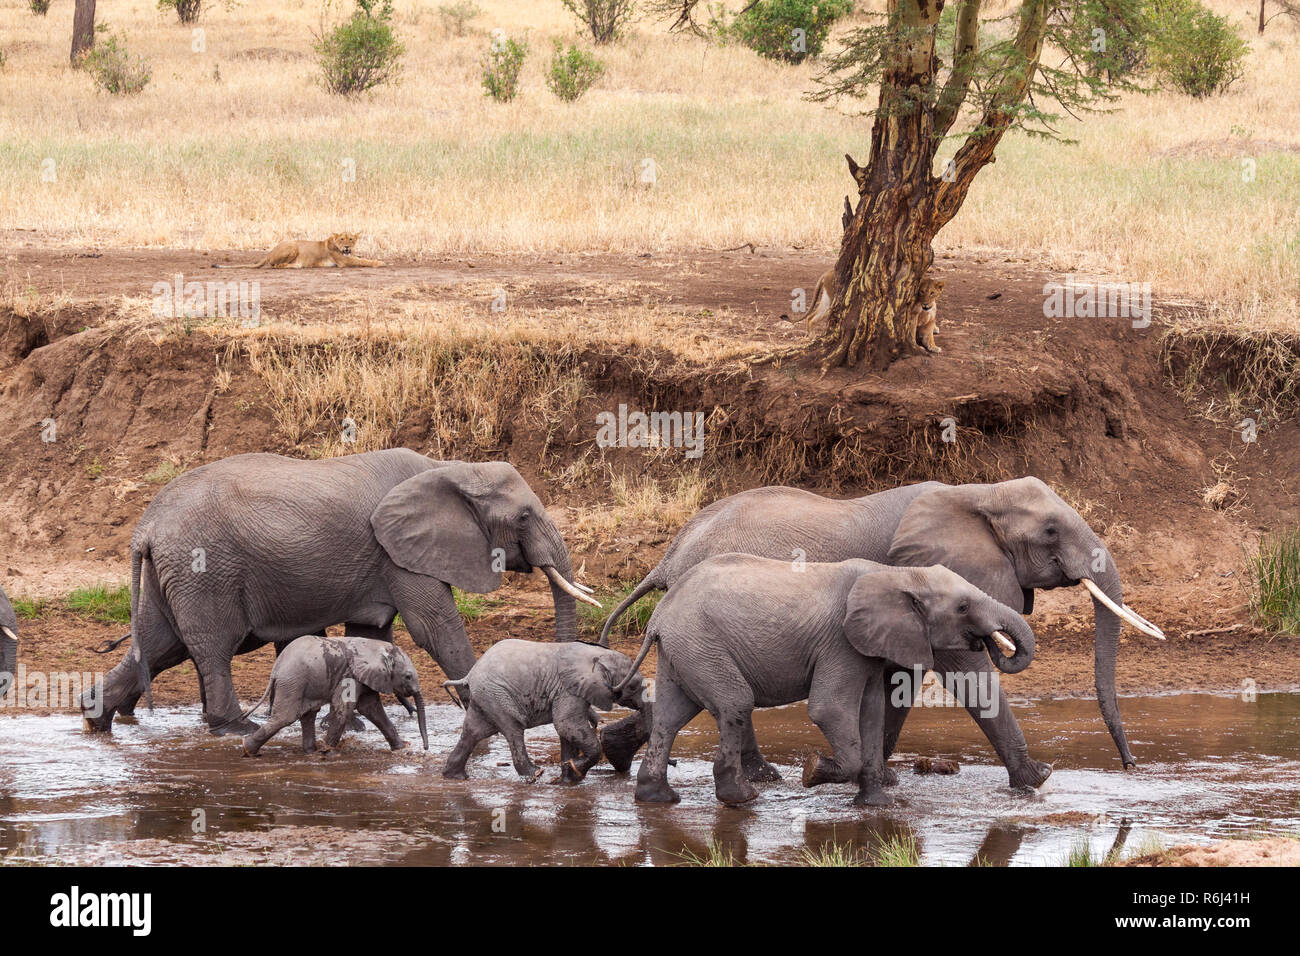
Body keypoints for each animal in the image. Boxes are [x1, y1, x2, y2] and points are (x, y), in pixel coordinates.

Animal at [83, 452, 600, 738]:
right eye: (523, 518)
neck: (450, 468)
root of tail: (145, 527)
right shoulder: (396, 554)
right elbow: (435, 627)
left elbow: (370, 633)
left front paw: (355, 724)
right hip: (202, 568)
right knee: (210, 649)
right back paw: (236, 728)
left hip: (171, 573)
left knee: (158, 646)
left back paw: (96, 719)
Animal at [239, 639, 431, 759]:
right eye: (407, 676)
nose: (425, 748)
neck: (375, 645)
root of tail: (276, 668)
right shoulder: (350, 675)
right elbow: (344, 707)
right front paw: (329, 753)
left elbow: (371, 708)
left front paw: (403, 748)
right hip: (293, 681)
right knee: (285, 717)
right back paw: (248, 749)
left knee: (307, 714)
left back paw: (310, 752)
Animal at [441, 642, 644, 785]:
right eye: (633, 686)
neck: (598, 654)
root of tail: (469, 674)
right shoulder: (567, 689)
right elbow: (566, 724)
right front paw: (575, 772)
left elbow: (567, 730)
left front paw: (568, 780)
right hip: (496, 695)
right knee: (513, 730)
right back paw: (535, 774)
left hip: (485, 699)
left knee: (473, 733)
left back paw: (455, 777)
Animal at [624, 554, 1040, 806]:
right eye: (963, 607)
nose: (992, 642)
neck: (896, 574)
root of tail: (659, 614)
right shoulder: (840, 643)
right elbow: (829, 710)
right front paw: (812, 772)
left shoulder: (867, 648)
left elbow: (871, 713)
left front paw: (876, 805)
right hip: (700, 643)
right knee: (734, 702)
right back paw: (741, 798)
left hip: (684, 649)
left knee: (670, 716)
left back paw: (657, 798)